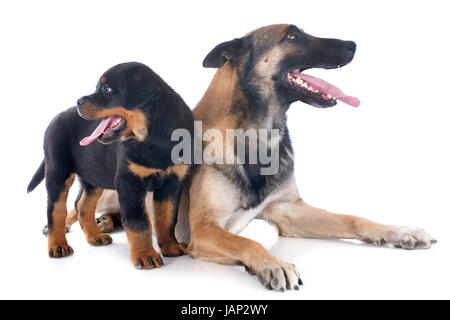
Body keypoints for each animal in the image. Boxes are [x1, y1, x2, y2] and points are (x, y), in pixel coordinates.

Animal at [27, 61, 193, 268]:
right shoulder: (129, 183)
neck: (153, 137)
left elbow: (167, 218)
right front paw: (145, 255)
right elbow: (138, 223)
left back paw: (95, 236)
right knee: (56, 210)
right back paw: (58, 245)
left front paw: (171, 247)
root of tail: (56, 118)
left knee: (83, 205)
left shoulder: (171, 184)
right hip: (58, 171)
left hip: (94, 175)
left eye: (107, 89)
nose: (78, 101)